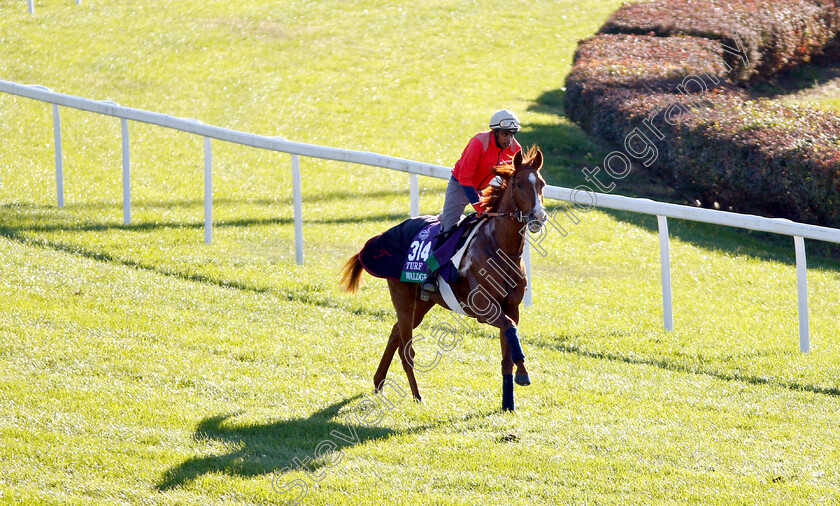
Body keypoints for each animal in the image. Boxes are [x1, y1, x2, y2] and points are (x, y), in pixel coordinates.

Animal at [342, 145, 552, 412]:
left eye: (542, 184)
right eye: (518, 183)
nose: (538, 216)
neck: (501, 249)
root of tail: (382, 235)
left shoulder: (511, 308)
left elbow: (508, 348)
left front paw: (509, 402)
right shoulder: (484, 308)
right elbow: (509, 329)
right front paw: (523, 373)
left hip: (422, 303)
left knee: (395, 333)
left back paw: (379, 382)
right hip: (402, 295)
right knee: (406, 349)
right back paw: (417, 396)